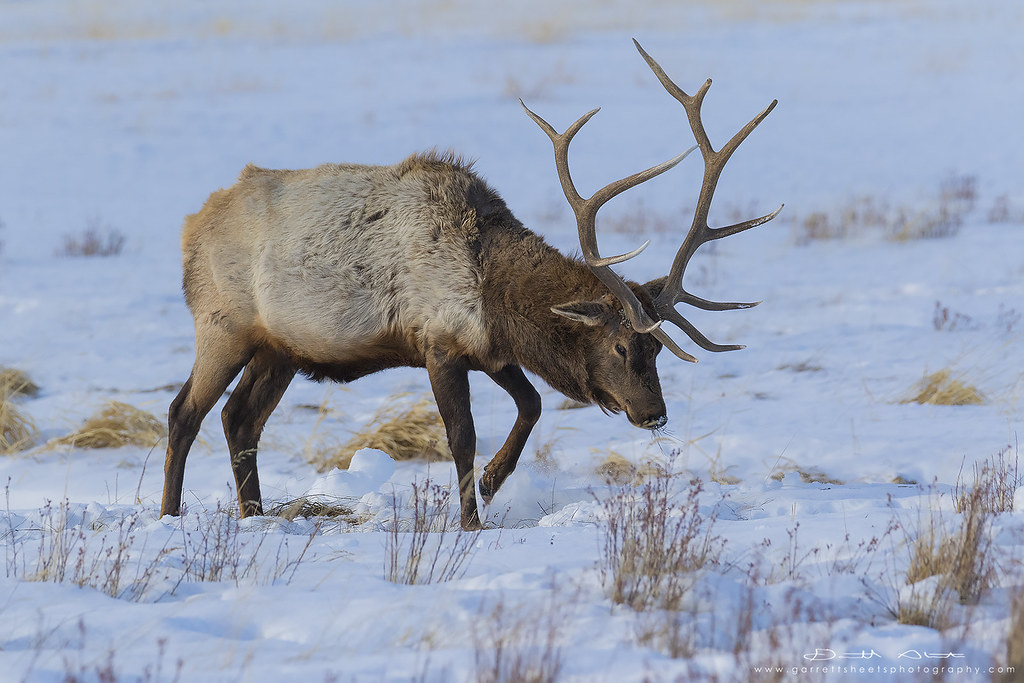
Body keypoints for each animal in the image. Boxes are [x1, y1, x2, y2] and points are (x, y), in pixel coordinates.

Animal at [160, 40, 781, 530]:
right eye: (621, 345)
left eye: (657, 349)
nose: (654, 413)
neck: (492, 289)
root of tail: (191, 225)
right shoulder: (438, 344)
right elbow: (461, 434)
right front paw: (470, 519)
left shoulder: (491, 349)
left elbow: (532, 403)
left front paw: (492, 481)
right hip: (222, 325)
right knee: (185, 411)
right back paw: (170, 513)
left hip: (280, 349)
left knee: (239, 419)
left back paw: (254, 515)